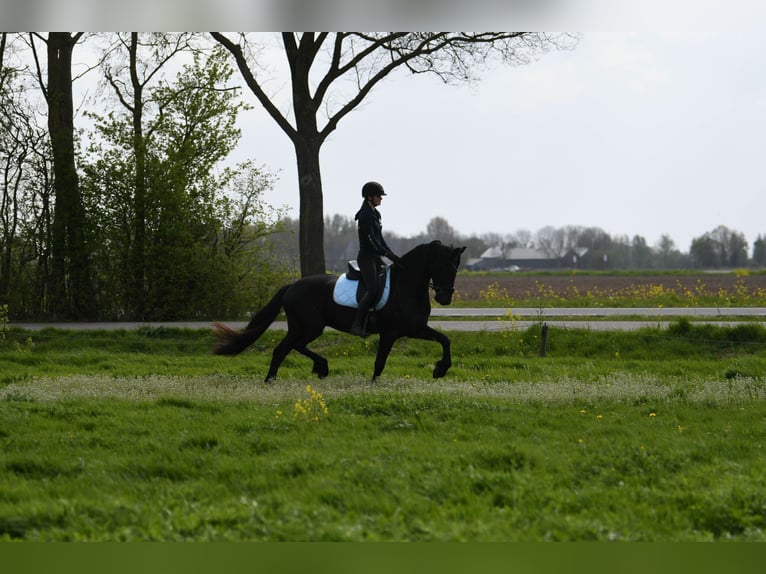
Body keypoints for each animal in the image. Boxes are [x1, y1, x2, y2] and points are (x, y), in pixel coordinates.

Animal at [212, 240, 467, 382]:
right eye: (444, 266)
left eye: (456, 269)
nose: (445, 298)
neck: (405, 286)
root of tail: (292, 286)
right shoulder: (391, 332)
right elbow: (380, 362)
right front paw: (373, 385)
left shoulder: (415, 328)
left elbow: (445, 340)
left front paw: (440, 369)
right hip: (310, 326)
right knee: (287, 348)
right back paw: (282, 377)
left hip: (304, 327)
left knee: (288, 348)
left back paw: (306, 371)